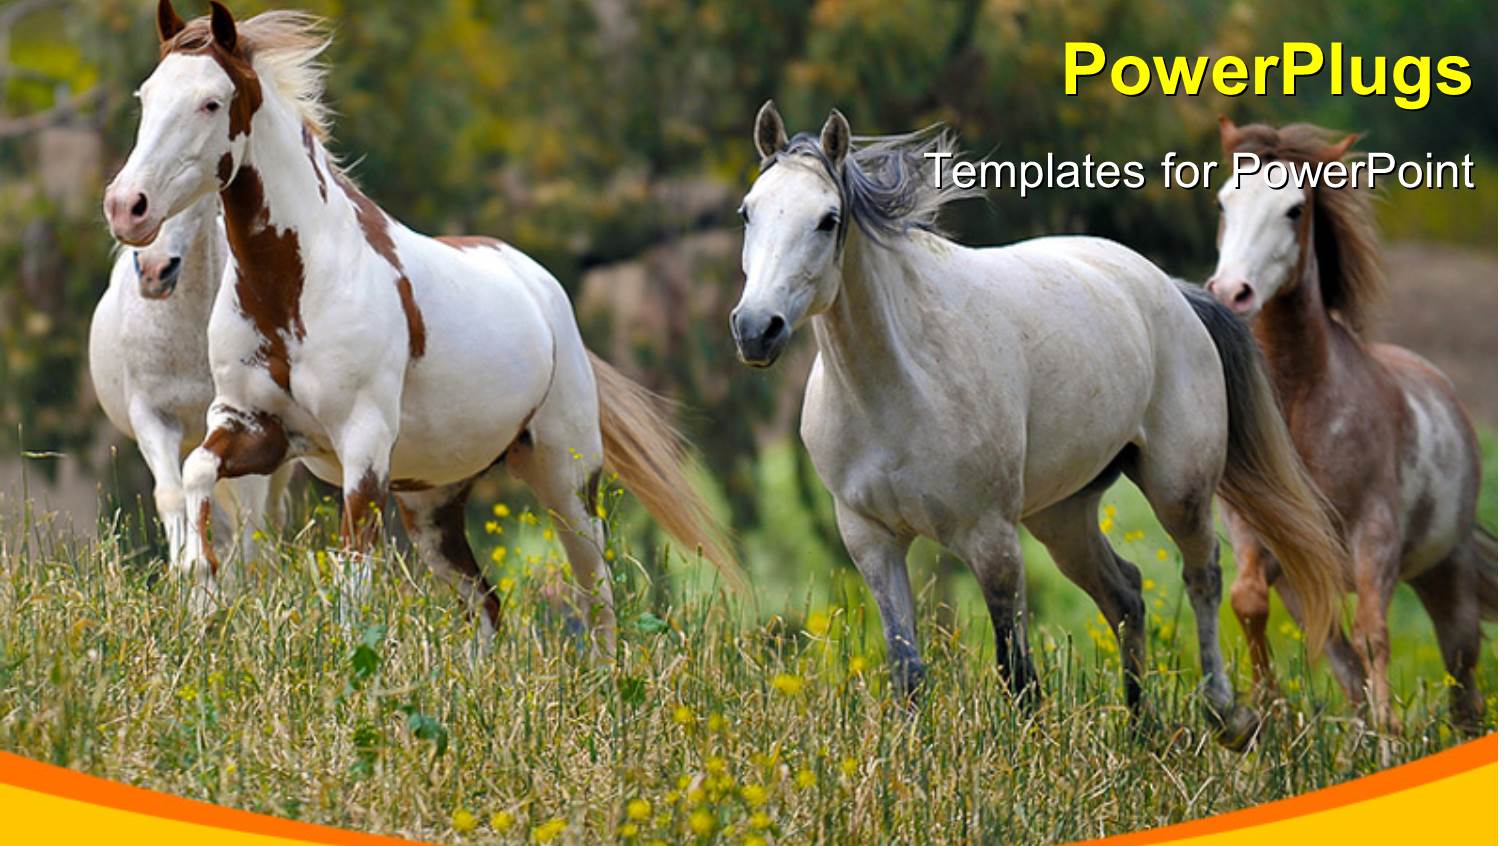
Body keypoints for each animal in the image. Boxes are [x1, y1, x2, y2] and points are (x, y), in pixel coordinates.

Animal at [90, 190, 288, 576]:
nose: (155, 271)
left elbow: (249, 518)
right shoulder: (153, 416)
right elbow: (172, 497)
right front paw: (190, 576)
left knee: (268, 512)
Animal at [730, 102, 1348, 745]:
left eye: (827, 220)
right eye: (748, 211)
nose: (755, 329)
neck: (900, 382)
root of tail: (1174, 294)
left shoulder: (991, 537)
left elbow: (1017, 672)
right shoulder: (870, 538)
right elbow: (908, 670)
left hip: (1178, 491)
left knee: (1202, 576)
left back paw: (1226, 716)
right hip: (1063, 517)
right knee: (1126, 595)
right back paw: (1139, 729)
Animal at [1207, 118, 1495, 730]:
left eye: (1294, 209)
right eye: (1223, 201)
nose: (1231, 293)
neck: (1301, 408)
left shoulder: (1374, 536)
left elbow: (1374, 636)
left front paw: (1390, 739)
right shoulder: (1260, 536)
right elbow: (1249, 603)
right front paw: (1263, 726)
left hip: (1447, 574)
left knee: (1461, 676)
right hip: (1305, 582)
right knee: (1341, 662)